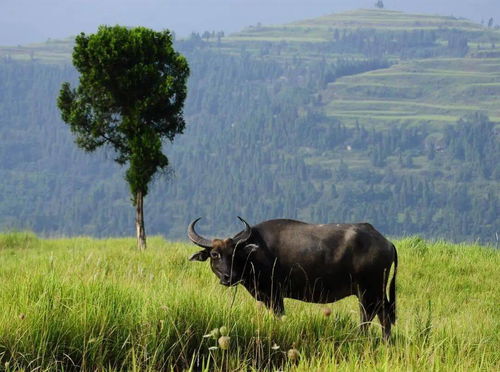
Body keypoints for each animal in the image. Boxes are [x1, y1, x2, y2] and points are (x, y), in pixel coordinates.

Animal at [188, 217, 398, 338]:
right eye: (214, 254)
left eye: (235, 253)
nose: (228, 277)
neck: (256, 255)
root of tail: (387, 243)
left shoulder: (275, 295)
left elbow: (280, 316)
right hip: (375, 293)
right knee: (384, 315)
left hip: (368, 292)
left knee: (370, 316)